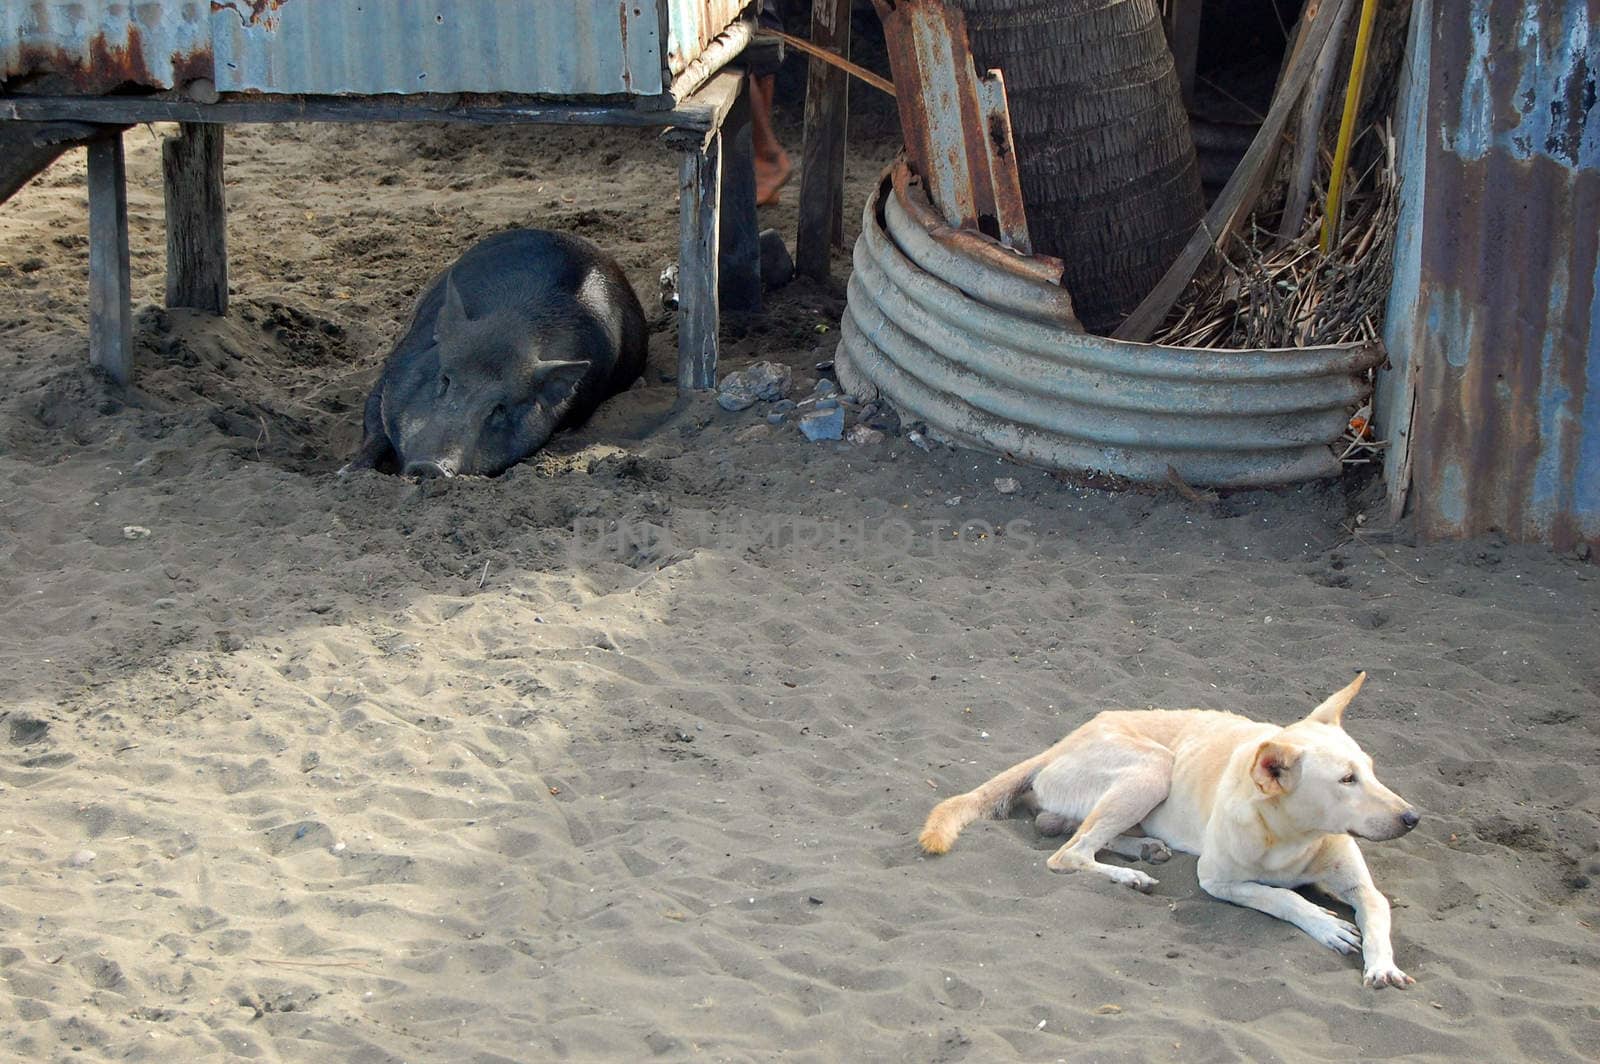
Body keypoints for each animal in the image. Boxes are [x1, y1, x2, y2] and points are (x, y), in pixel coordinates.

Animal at [342, 230, 643, 473]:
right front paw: (347, 472)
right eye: (444, 380)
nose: (432, 466)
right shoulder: (392, 371)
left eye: (499, 408)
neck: (513, 324)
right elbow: (375, 424)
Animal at [921, 672, 1420, 985]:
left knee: (1069, 829)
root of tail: (1058, 746)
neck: (1290, 834)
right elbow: (1281, 897)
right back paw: (1130, 873)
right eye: (1346, 780)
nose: (1412, 817)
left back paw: (1142, 848)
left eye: (1371, 770)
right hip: (1154, 767)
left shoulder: (1362, 888)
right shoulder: (1218, 881)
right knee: (1069, 853)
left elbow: (1376, 914)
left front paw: (1381, 966)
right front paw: (1324, 924)